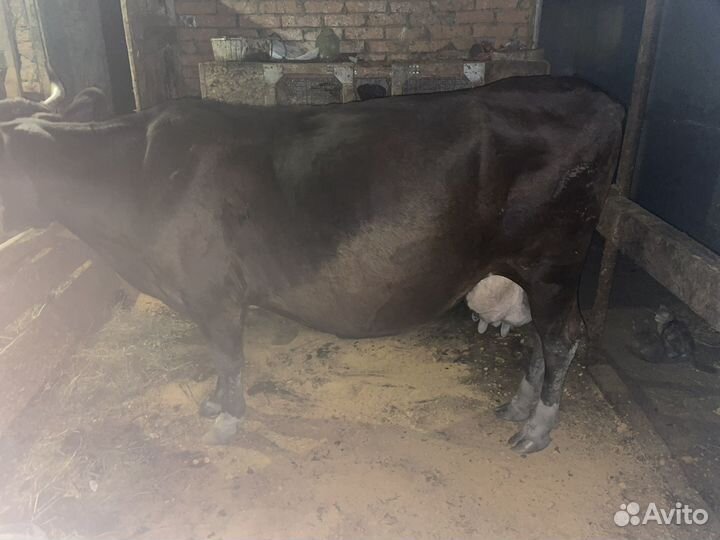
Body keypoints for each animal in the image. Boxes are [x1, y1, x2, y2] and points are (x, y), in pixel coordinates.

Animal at [0, 76, 624, 454]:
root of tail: (598, 98)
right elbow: (218, 360)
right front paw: (213, 403)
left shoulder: (215, 293)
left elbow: (229, 358)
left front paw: (227, 419)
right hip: (530, 273)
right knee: (539, 340)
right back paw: (516, 407)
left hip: (552, 263)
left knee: (563, 338)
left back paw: (537, 429)